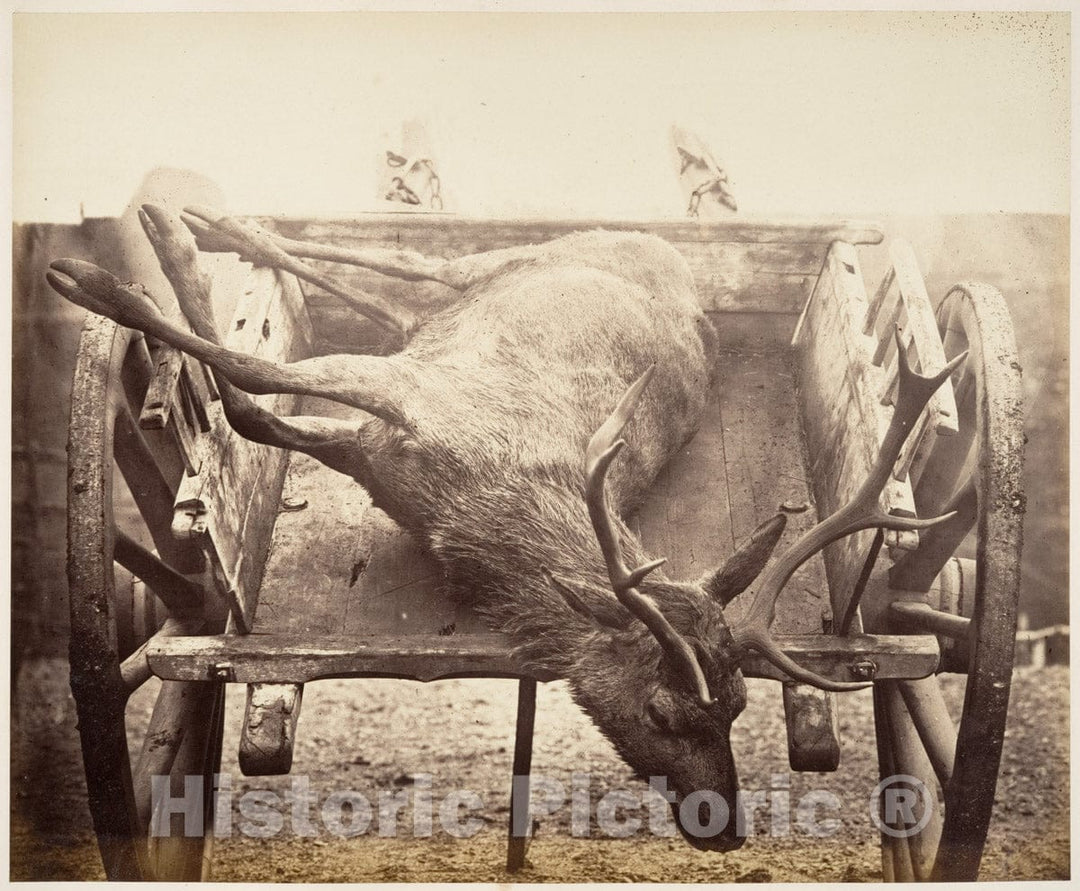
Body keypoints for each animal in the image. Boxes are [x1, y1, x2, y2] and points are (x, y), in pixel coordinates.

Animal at [47, 204, 961, 852]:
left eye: (738, 705)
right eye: (666, 710)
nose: (729, 828)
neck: (468, 506)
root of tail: (667, 248)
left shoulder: (376, 434)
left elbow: (254, 402)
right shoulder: (401, 395)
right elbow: (251, 372)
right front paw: (105, 288)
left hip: (463, 303)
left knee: (392, 299)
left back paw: (195, 230)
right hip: (504, 264)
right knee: (407, 261)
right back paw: (189, 229)